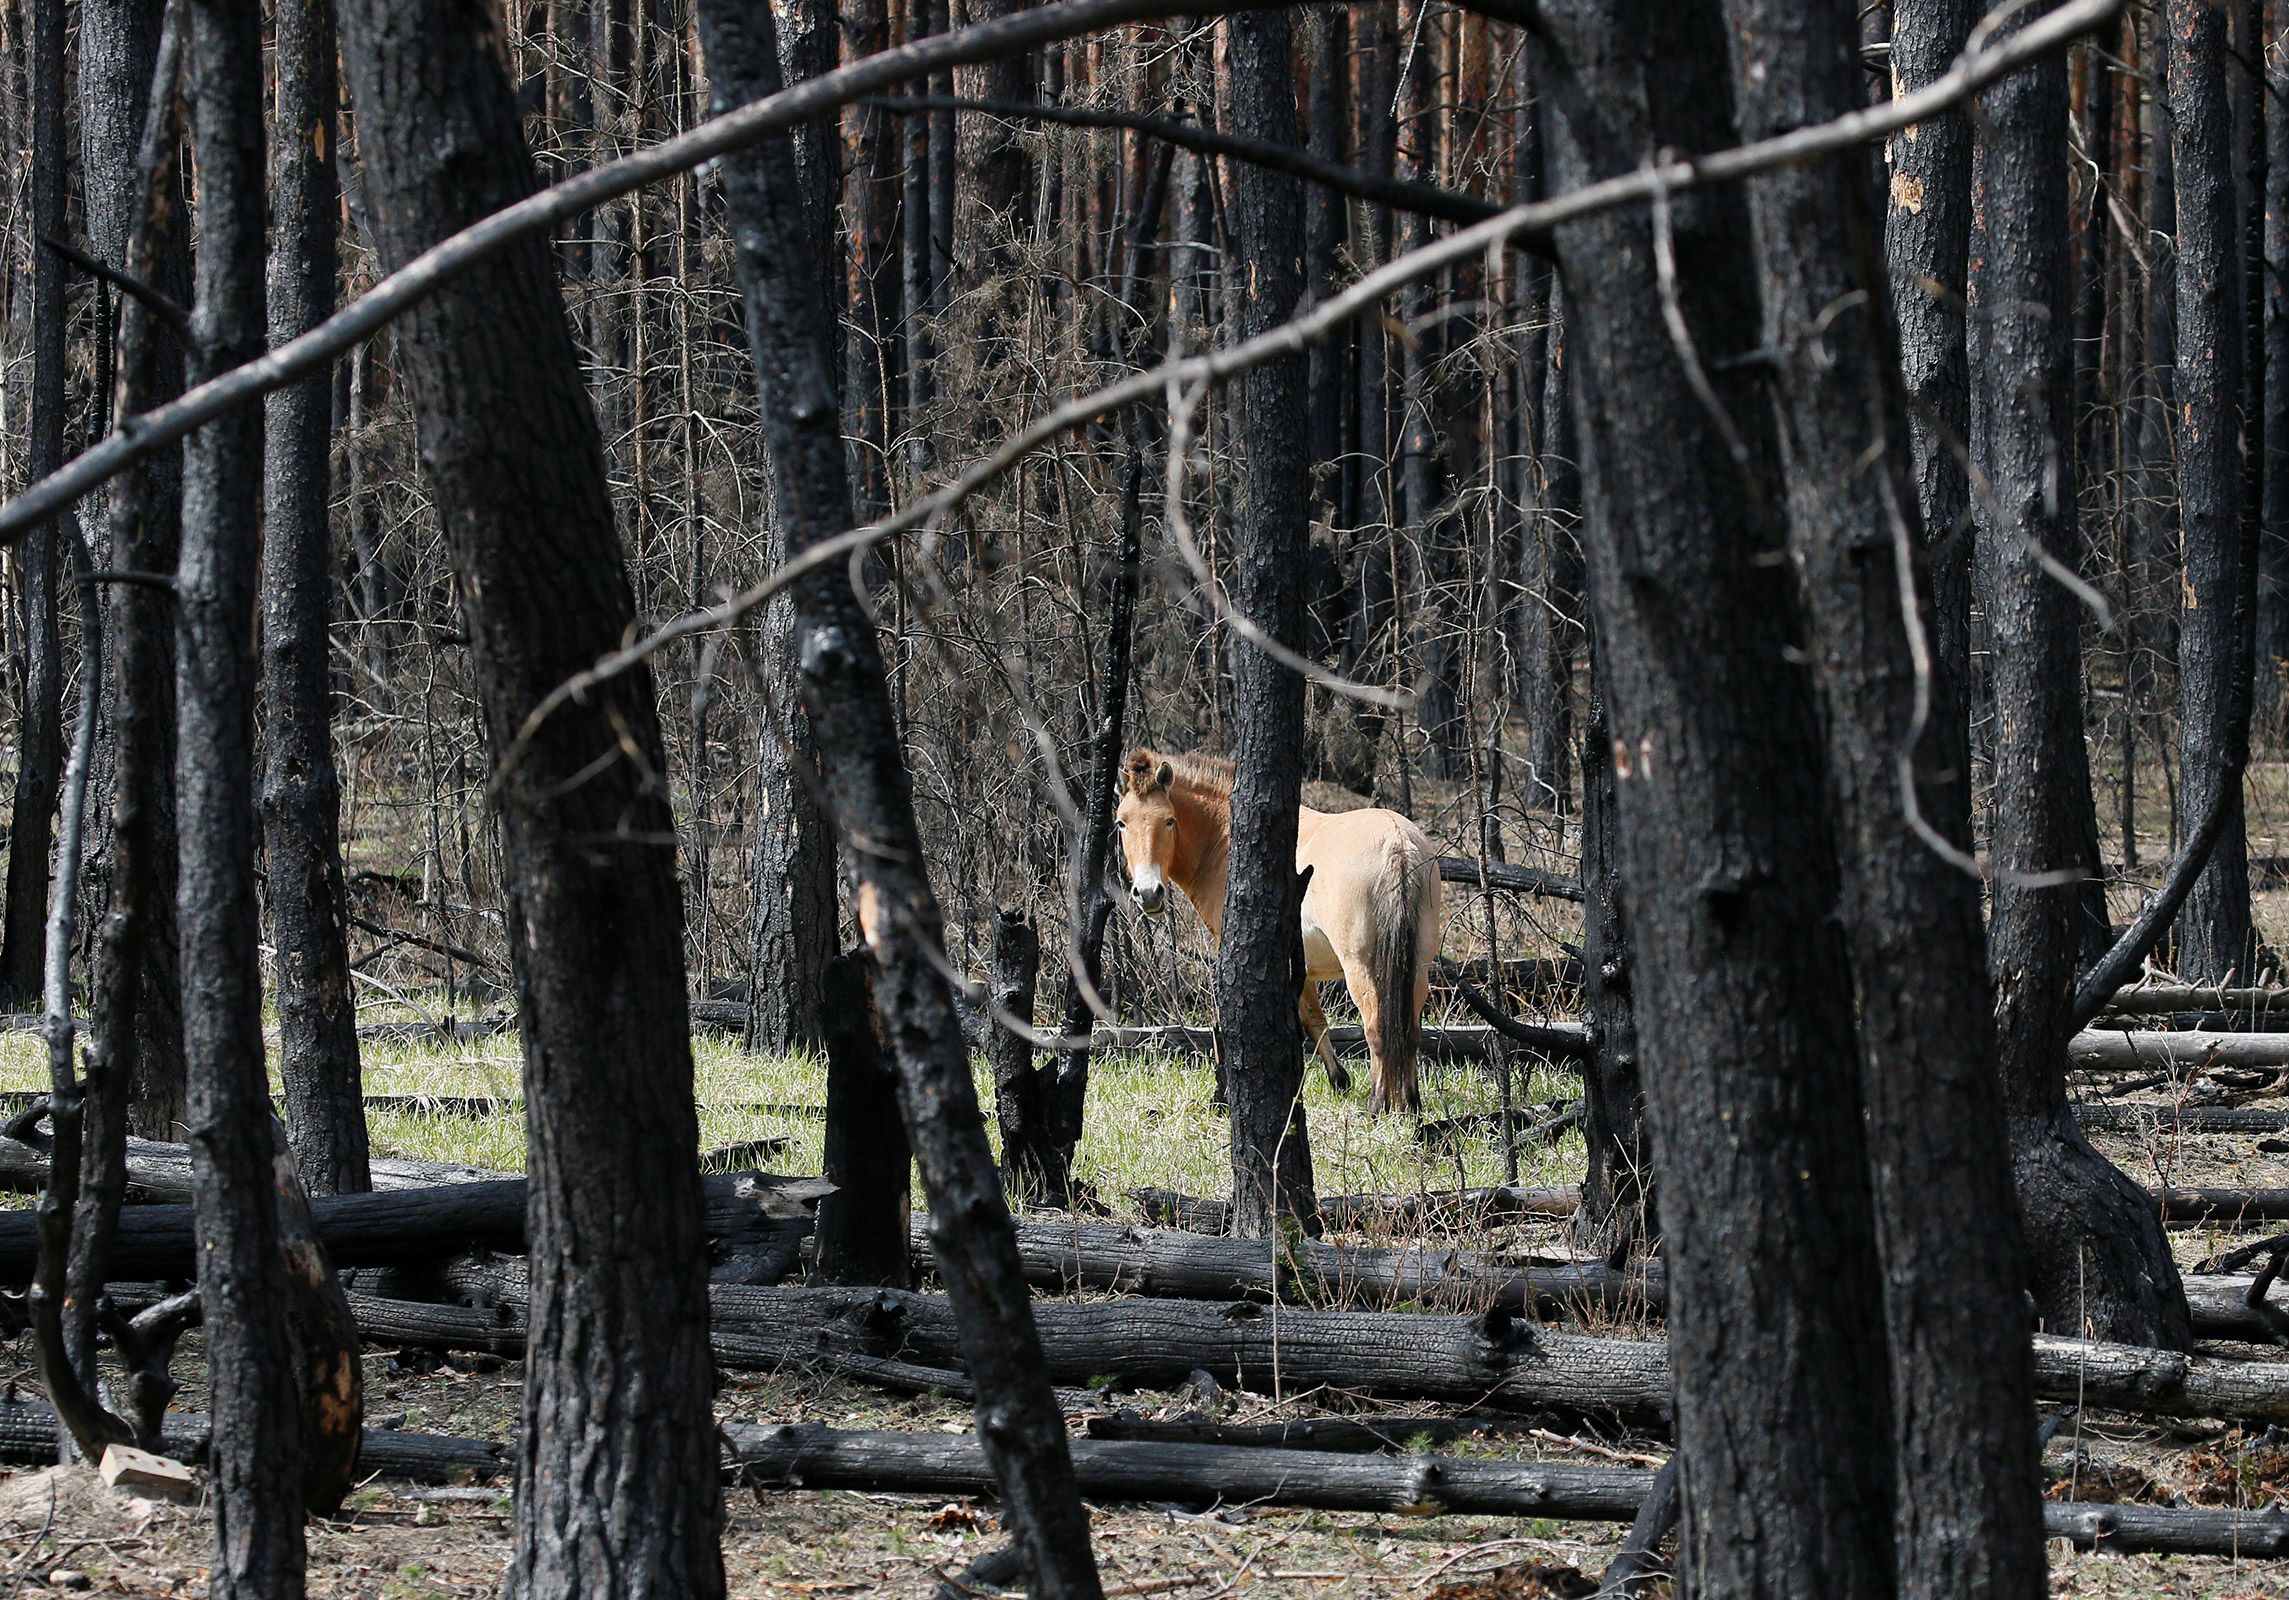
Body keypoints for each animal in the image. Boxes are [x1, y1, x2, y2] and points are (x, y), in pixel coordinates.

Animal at [1112, 750, 1446, 1112]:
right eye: (1121, 822)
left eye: (1169, 820)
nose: (1148, 893)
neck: (1227, 839)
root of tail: (1397, 843)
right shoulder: (1301, 967)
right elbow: (1315, 1021)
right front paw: (1338, 1080)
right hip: (1418, 966)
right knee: (1410, 1030)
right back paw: (1410, 1103)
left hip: (1360, 968)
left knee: (1377, 1030)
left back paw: (1378, 1105)